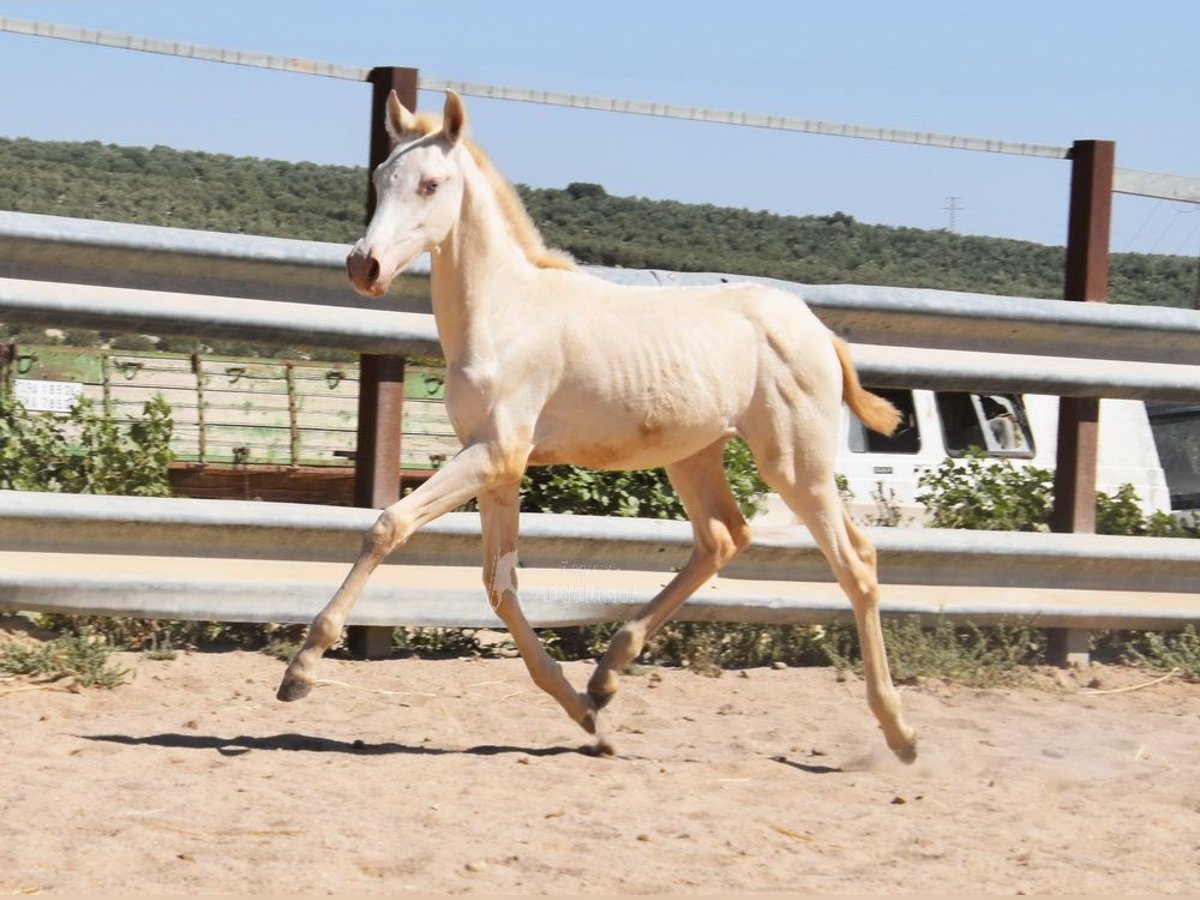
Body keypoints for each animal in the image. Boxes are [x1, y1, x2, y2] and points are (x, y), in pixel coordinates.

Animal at [278, 90, 916, 763]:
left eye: (431, 183)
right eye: (379, 178)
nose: (364, 266)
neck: (505, 314)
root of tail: (818, 329)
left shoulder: (495, 453)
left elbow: (388, 525)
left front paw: (300, 671)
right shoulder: (498, 467)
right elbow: (499, 585)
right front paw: (585, 715)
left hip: (795, 461)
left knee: (856, 562)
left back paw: (899, 732)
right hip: (694, 454)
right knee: (723, 538)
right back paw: (606, 677)